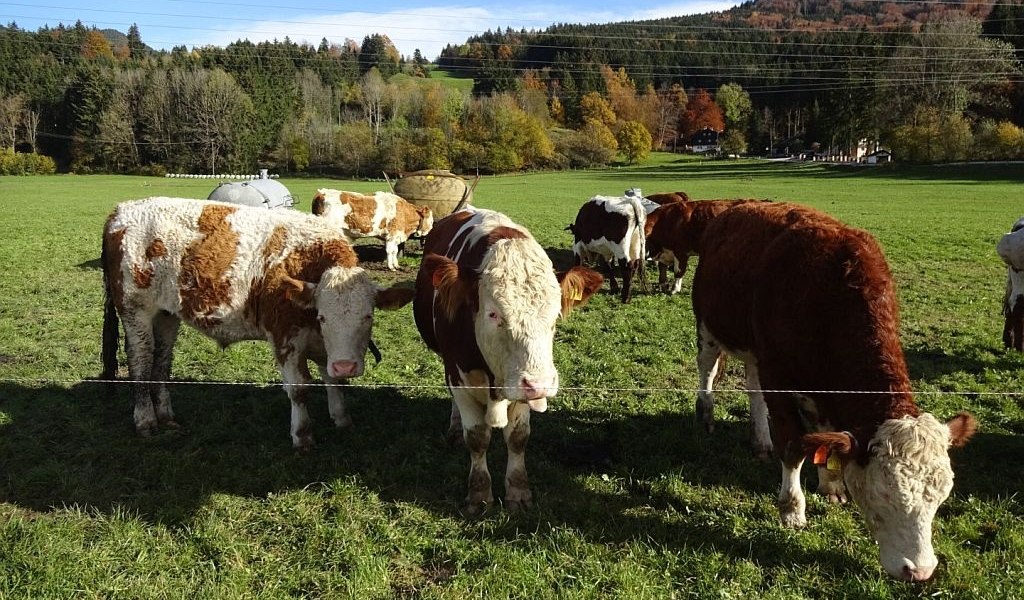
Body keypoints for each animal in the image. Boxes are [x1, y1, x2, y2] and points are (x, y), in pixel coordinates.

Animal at [98, 198, 411, 446]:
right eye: (323, 316)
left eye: (368, 316)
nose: (347, 365)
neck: (307, 262)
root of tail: (120, 211)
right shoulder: (285, 337)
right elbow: (299, 389)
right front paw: (302, 435)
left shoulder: (326, 347)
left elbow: (333, 381)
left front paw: (342, 419)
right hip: (135, 311)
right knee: (140, 361)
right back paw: (146, 421)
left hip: (166, 316)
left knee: (162, 361)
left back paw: (166, 416)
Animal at [413, 206, 602, 513]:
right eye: (494, 314)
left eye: (555, 314)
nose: (540, 384)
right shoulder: (459, 374)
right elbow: (477, 438)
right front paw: (479, 494)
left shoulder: (521, 385)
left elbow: (518, 437)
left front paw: (518, 491)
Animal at [696, 200, 974, 577]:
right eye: (884, 496)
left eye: (941, 496)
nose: (920, 571)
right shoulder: (778, 375)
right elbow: (793, 445)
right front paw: (792, 510)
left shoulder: (820, 386)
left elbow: (823, 436)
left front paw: (829, 484)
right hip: (708, 326)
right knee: (707, 369)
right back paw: (706, 415)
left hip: (755, 354)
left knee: (754, 391)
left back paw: (760, 441)